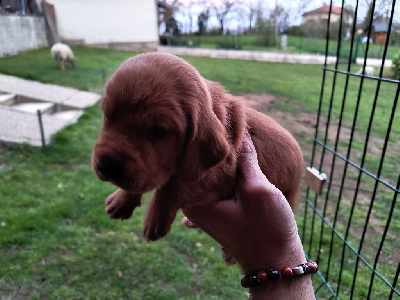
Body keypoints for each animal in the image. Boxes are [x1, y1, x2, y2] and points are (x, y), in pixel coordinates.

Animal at [91, 52, 304, 247]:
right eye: (107, 115)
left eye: (159, 130)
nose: (105, 167)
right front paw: (122, 199)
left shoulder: (219, 172)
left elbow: (173, 184)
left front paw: (155, 217)